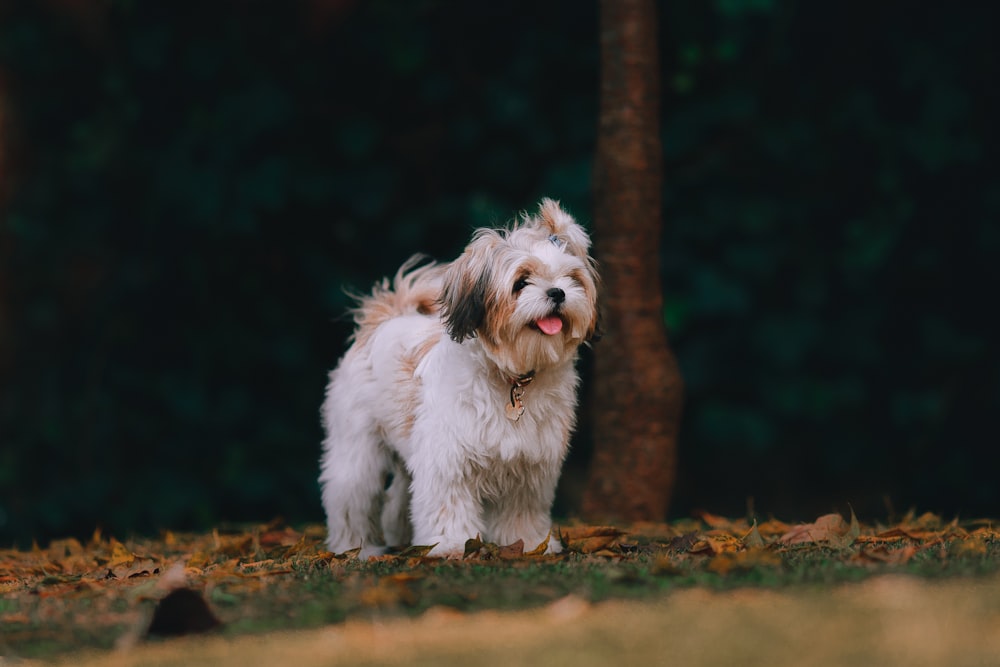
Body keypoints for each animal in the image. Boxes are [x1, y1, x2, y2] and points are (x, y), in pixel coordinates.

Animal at [320, 200, 596, 560]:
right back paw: (355, 547)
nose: (558, 292)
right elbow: (447, 506)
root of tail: (387, 317)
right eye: (521, 282)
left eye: (572, 278)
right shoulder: (446, 461)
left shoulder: (529, 468)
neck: (512, 377)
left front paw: (530, 544)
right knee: (351, 497)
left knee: (398, 500)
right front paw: (450, 545)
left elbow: (521, 511)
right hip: (357, 450)